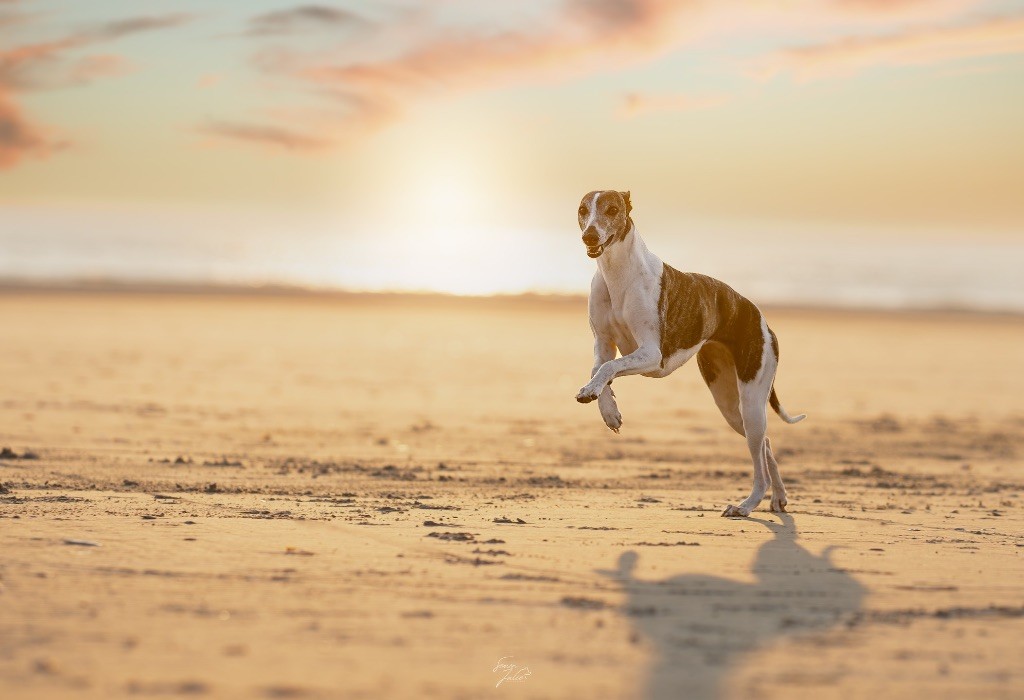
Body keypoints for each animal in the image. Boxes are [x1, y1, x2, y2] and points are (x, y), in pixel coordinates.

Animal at [573, 188, 802, 515]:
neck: (618, 274)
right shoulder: (604, 344)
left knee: (759, 456)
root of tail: (762, 319)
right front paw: (608, 409)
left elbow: (608, 368)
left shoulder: (652, 355)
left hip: (752, 400)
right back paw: (778, 498)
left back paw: (747, 505)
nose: (589, 236)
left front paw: (602, 401)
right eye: (583, 210)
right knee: (766, 445)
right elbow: (599, 368)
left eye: (612, 209)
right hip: (731, 406)